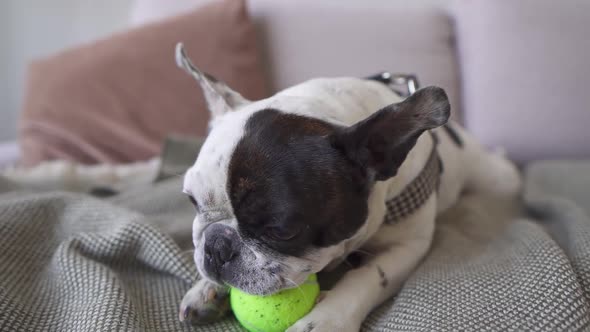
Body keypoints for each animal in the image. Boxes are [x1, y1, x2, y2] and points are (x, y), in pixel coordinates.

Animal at [177, 44, 524, 332]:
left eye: (281, 231)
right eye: (192, 202)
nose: (217, 246)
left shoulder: (407, 248)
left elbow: (367, 278)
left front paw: (325, 318)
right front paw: (206, 289)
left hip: (497, 179)